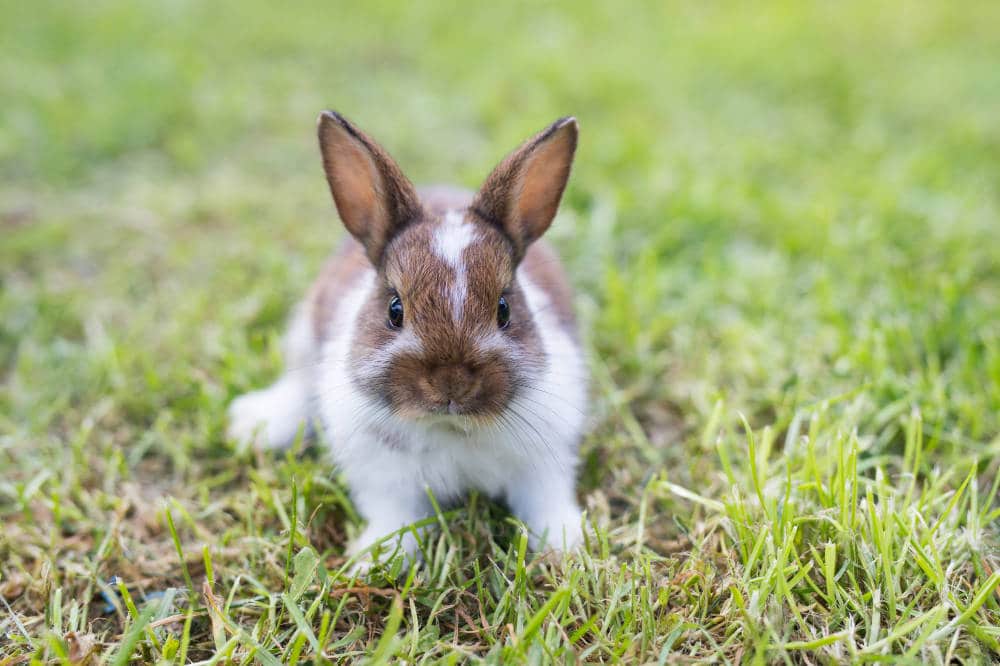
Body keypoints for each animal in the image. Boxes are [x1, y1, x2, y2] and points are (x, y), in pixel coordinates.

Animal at [229, 110, 584, 564]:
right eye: (394, 311)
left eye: (504, 310)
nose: (451, 383)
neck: (451, 427)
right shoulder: (384, 476)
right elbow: (394, 515)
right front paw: (376, 558)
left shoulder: (544, 461)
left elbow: (546, 501)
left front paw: (565, 545)